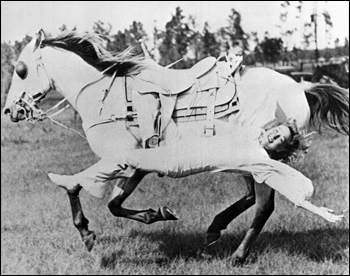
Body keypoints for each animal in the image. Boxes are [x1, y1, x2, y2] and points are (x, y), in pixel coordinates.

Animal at [2, 30, 348, 264]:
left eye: (20, 69)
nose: (9, 110)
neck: (105, 97)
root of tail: (302, 86)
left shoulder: (121, 160)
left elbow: (77, 188)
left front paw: (86, 233)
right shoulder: (135, 164)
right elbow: (115, 203)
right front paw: (158, 214)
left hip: (262, 158)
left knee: (263, 206)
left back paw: (237, 255)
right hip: (251, 158)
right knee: (251, 196)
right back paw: (215, 228)